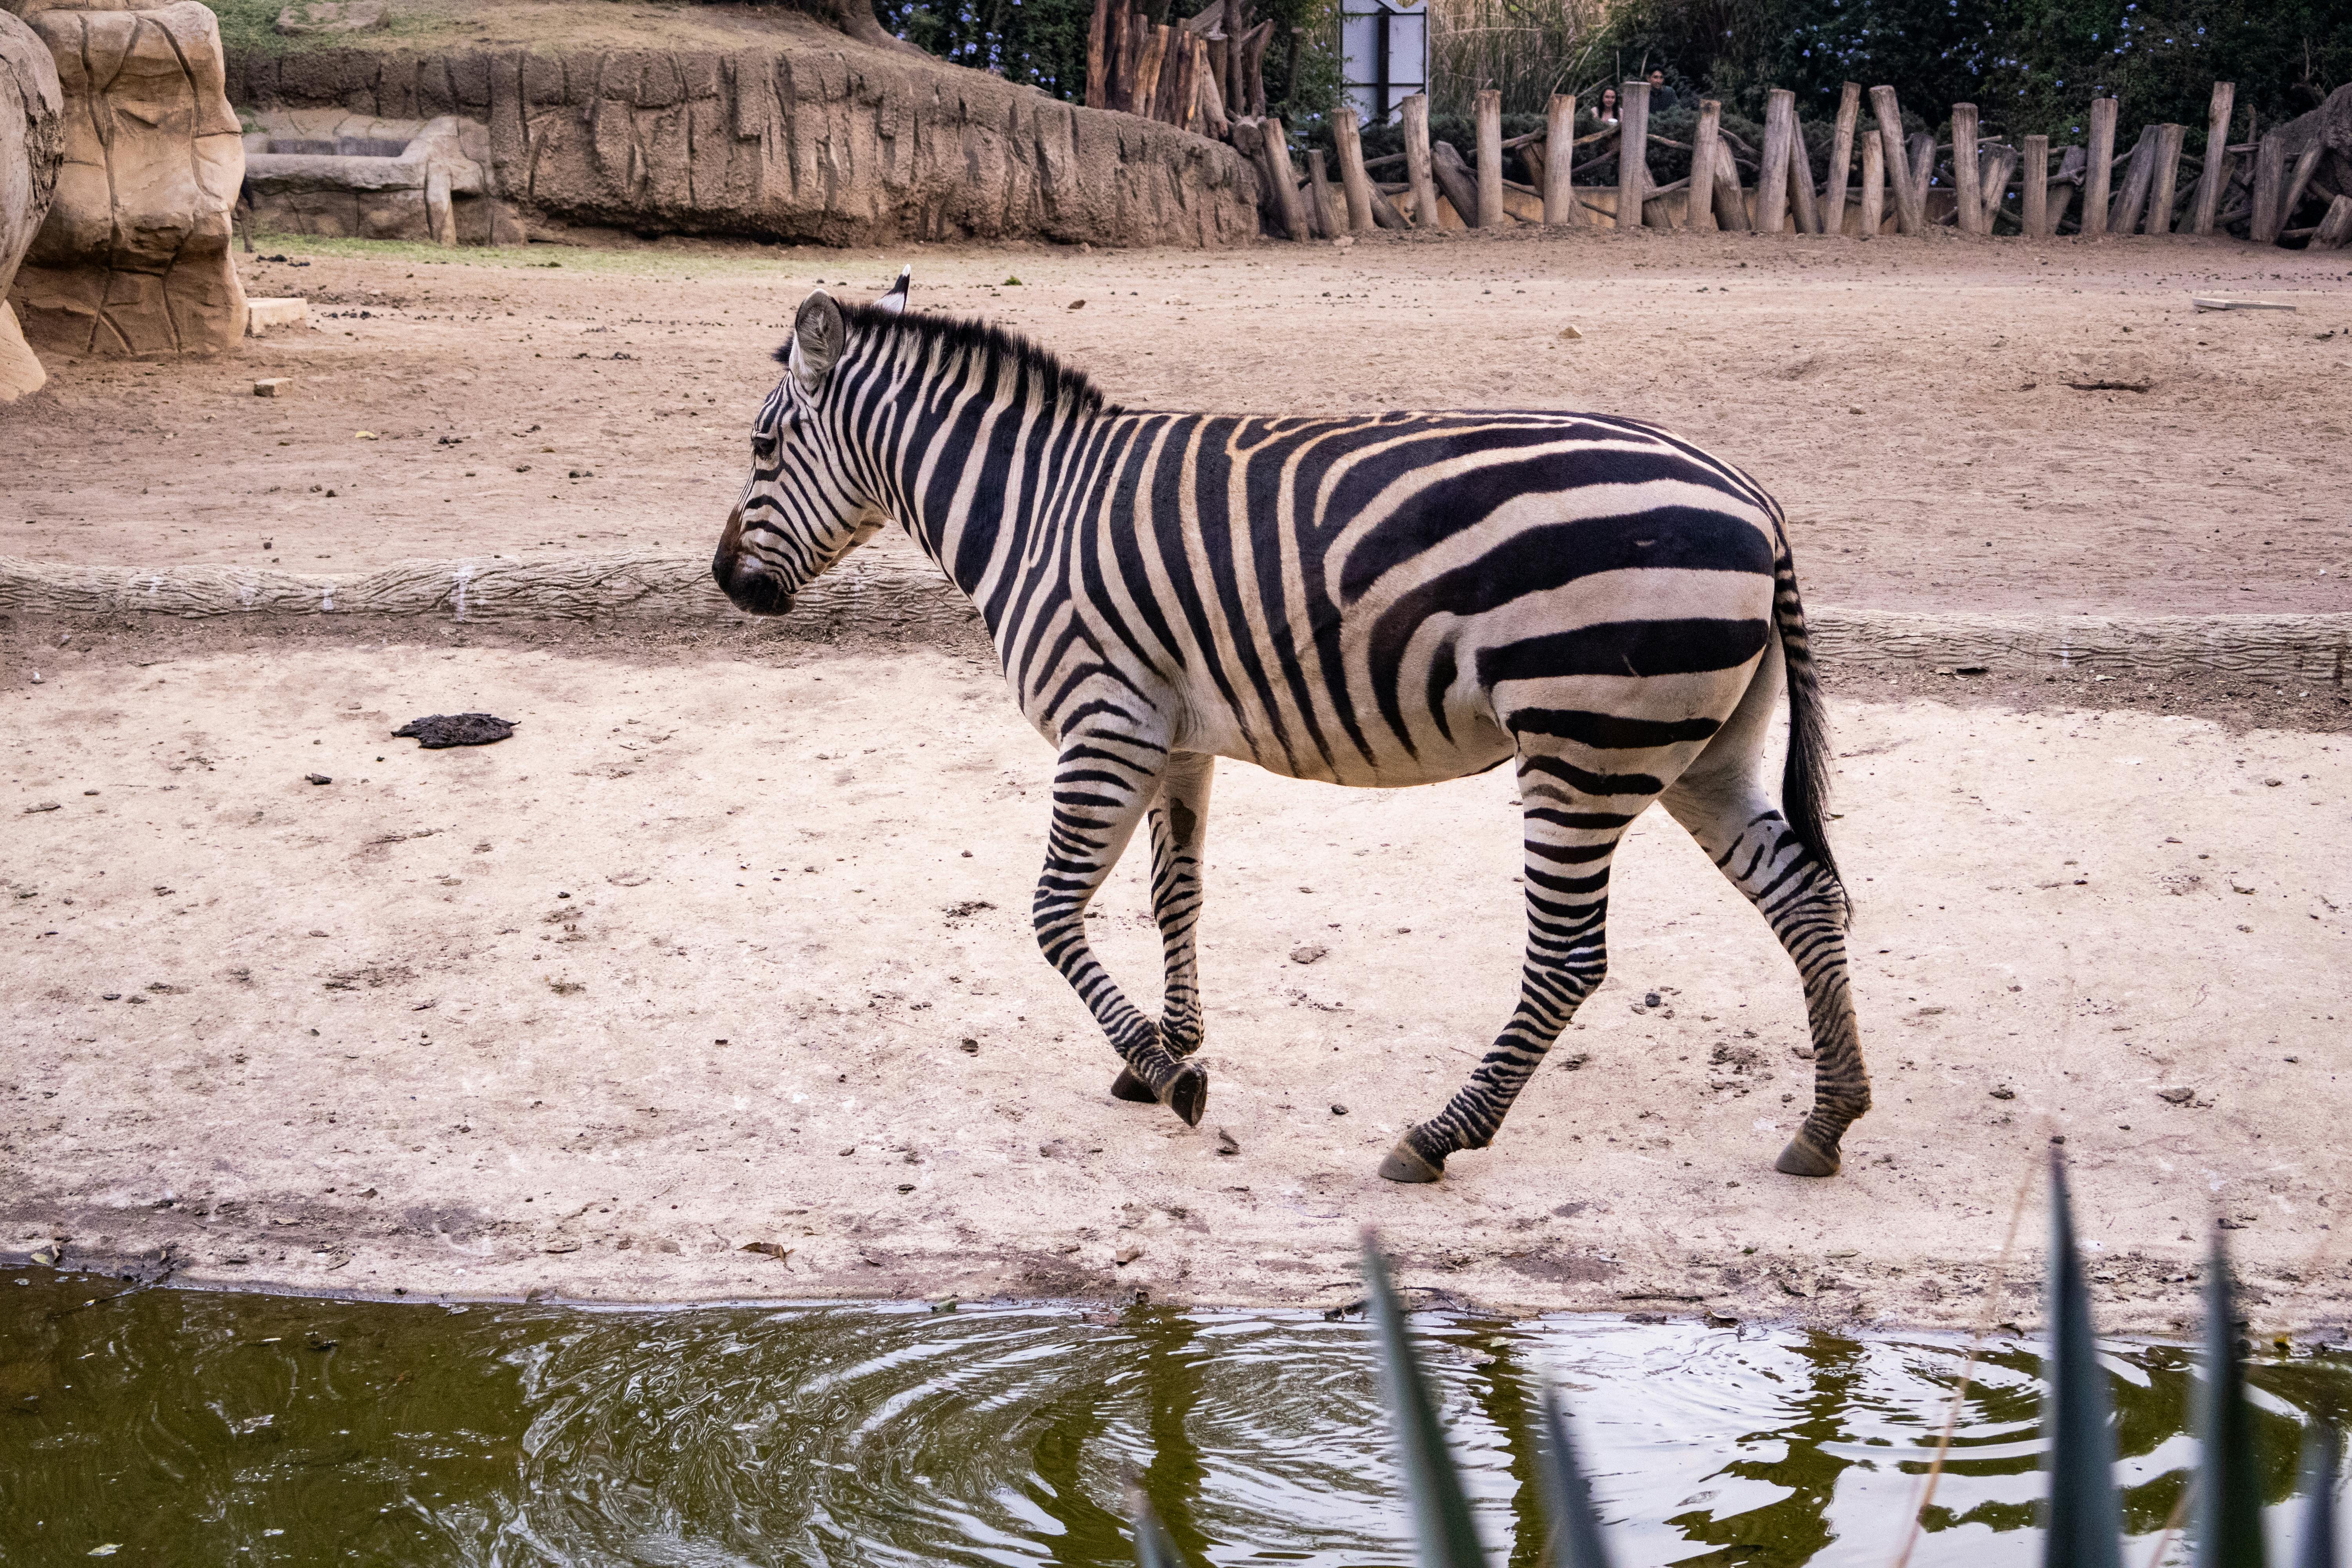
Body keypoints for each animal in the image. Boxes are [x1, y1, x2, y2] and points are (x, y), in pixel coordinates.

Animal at [712, 273, 1869, 1184]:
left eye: (764, 446)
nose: (726, 582)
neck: (1031, 511)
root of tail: (1756, 501)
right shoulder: (1174, 735)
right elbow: (1175, 897)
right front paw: (1165, 1053)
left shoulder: (1103, 721)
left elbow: (1048, 916)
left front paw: (1169, 1074)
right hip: (1694, 749)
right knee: (1807, 897)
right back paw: (1828, 1121)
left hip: (1580, 745)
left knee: (1569, 955)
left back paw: (1439, 1136)